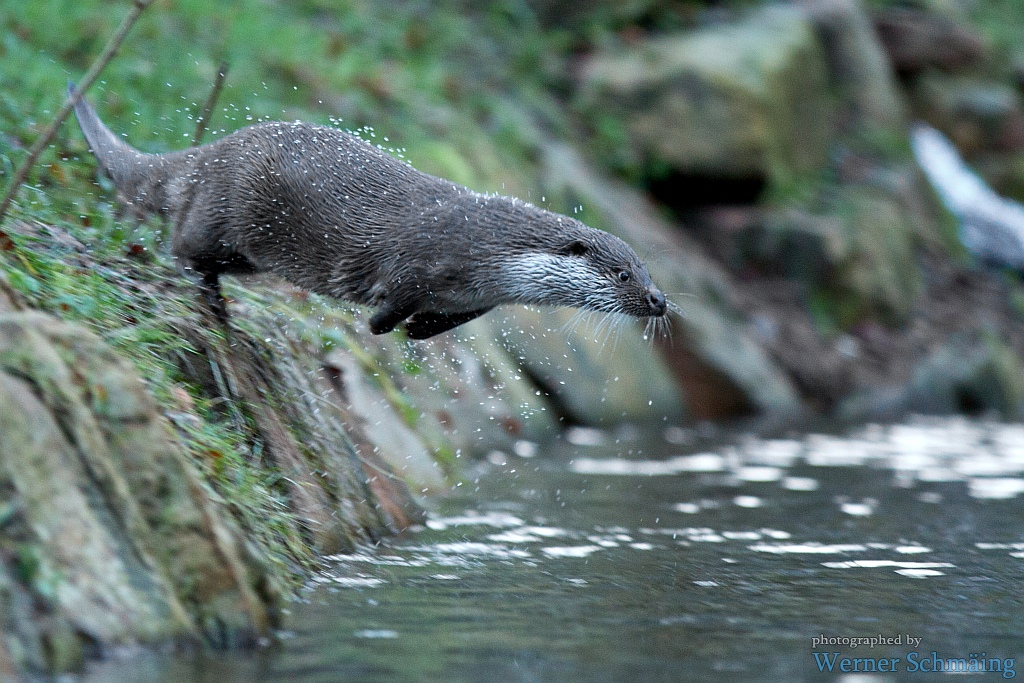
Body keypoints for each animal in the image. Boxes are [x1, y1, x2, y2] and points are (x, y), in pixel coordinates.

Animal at [68, 83, 667, 339]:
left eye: (647, 270)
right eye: (622, 274)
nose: (659, 300)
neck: (491, 251)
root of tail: (210, 153)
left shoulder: (476, 300)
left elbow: (440, 321)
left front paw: (416, 332)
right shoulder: (423, 261)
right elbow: (394, 297)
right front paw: (380, 325)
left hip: (251, 250)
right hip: (223, 207)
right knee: (183, 246)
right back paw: (211, 304)